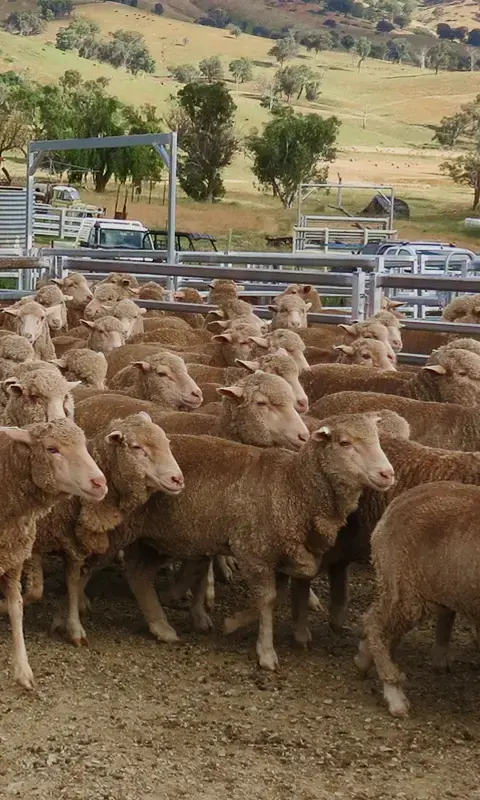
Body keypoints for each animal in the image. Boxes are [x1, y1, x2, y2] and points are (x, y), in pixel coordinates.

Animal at [23, 412, 184, 646]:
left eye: (167, 443)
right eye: (136, 447)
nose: (178, 479)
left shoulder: (73, 545)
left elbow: (73, 583)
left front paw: (74, 628)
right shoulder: (34, 543)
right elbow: (35, 590)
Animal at [118, 412, 394, 668]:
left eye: (378, 440)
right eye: (345, 443)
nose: (387, 473)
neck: (292, 487)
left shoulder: (279, 554)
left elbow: (278, 596)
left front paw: (232, 622)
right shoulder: (254, 551)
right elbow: (268, 599)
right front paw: (266, 651)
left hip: (160, 538)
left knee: (139, 574)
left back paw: (162, 625)